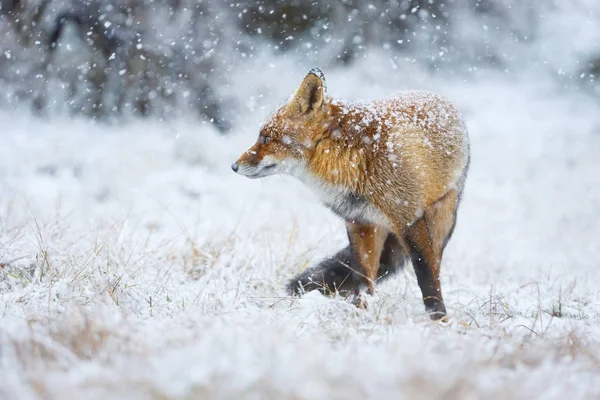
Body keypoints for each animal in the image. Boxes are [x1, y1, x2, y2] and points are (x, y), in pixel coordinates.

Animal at [232, 68, 472, 318]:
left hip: (440, 223)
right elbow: (364, 279)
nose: (234, 166)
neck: (356, 161)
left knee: (434, 265)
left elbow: (427, 277)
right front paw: (361, 313)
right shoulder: (360, 222)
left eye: (265, 138)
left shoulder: (409, 219)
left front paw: (438, 318)